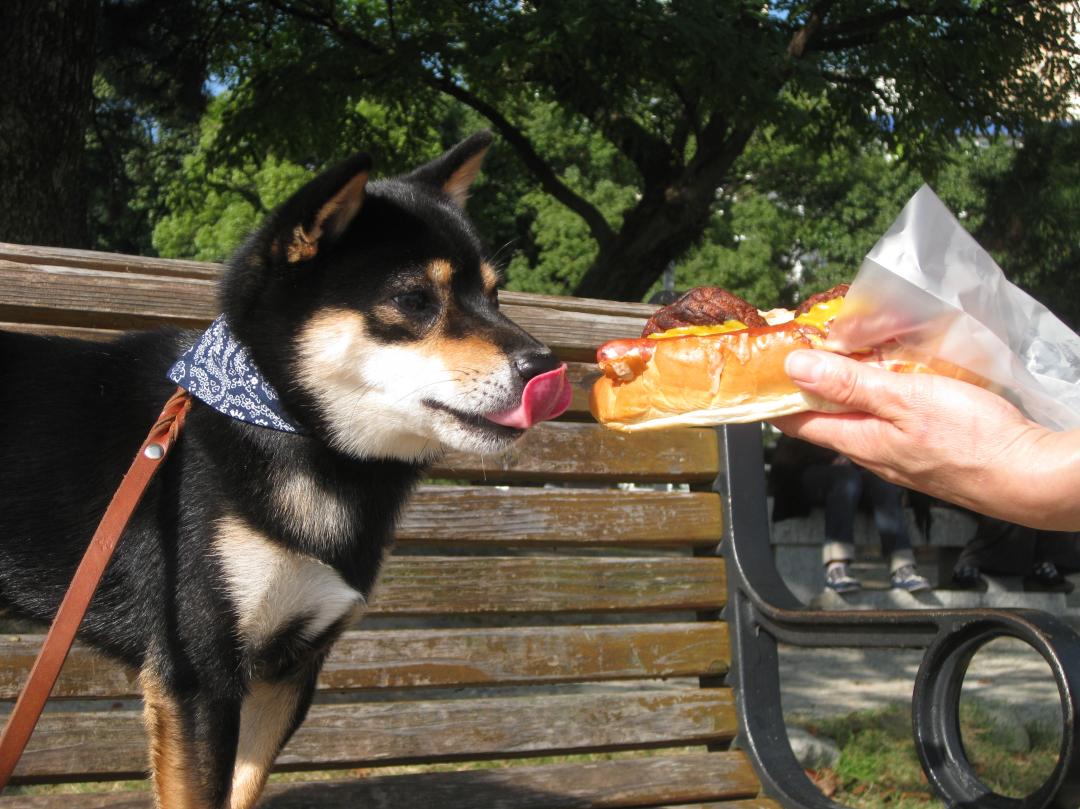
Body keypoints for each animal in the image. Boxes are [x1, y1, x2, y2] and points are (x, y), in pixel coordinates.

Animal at [0, 132, 570, 807]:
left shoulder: (288, 674)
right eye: (412, 299)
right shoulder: (199, 673)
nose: (545, 365)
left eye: (494, 294)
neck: (276, 424)